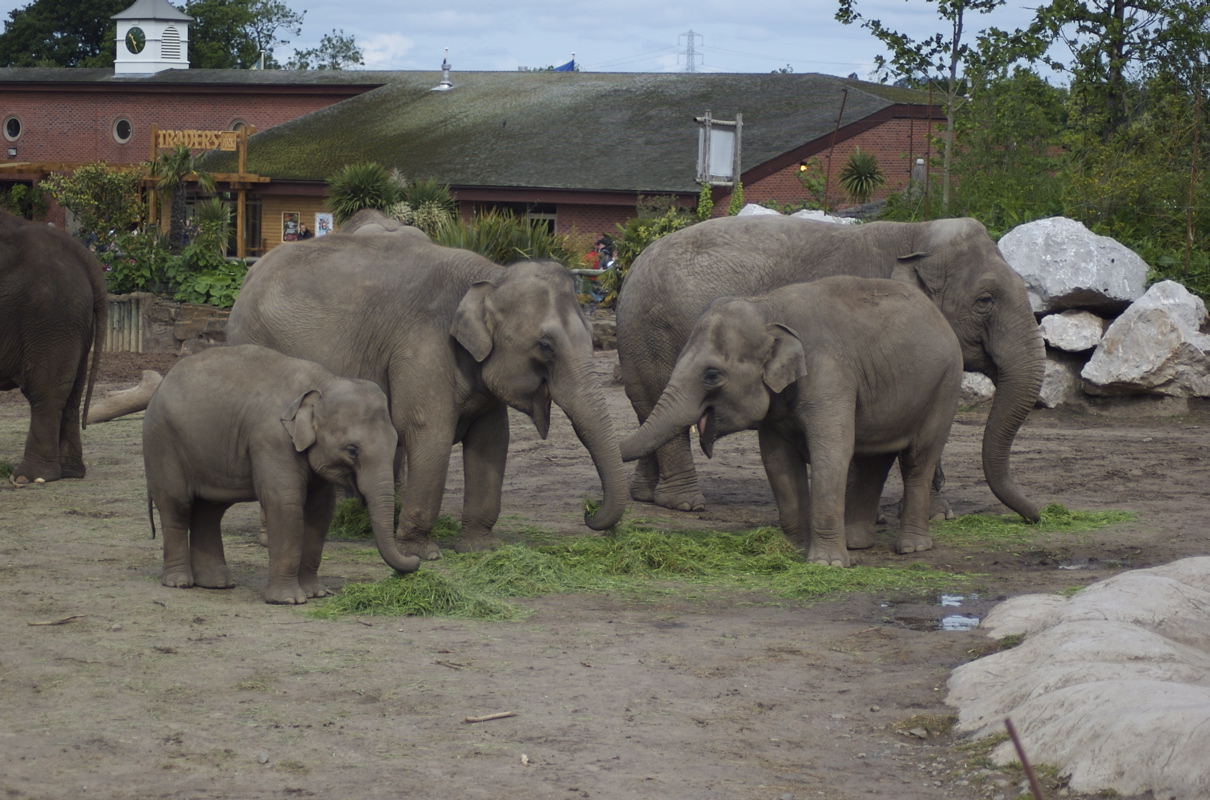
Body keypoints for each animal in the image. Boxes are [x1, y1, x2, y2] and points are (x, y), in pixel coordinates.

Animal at [0, 210, 107, 484]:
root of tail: (80, 251)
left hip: (51, 317)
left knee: (46, 391)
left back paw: (29, 478)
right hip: (73, 320)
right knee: (71, 393)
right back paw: (70, 472)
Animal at [143, 345, 422, 604]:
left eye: (396, 441)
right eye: (352, 450)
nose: (415, 559)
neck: (323, 382)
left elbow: (321, 510)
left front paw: (316, 593)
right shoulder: (272, 439)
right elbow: (285, 503)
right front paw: (289, 600)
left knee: (210, 510)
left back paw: (217, 584)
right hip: (163, 443)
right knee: (177, 505)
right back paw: (180, 582)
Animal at [227, 215, 626, 561]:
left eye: (591, 337)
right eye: (545, 346)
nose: (589, 512)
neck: (490, 278)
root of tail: (249, 275)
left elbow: (492, 440)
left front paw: (481, 549)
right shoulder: (422, 349)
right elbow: (427, 431)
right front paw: (422, 553)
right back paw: (271, 539)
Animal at [615, 214, 1044, 522]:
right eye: (985, 300)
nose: (1035, 517)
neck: (915, 236)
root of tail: (631, 268)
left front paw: (938, 516)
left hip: (640, 342)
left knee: (648, 411)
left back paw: (644, 495)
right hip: (659, 336)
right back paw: (686, 504)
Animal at [619, 276, 964, 566]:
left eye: (712, 374)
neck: (766, 308)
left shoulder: (829, 376)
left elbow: (832, 454)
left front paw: (826, 564)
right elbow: (777, 461)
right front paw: (794, 551)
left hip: (945, 387)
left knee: (918, 460)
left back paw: (912, 548)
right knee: (874, 461)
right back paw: (856, 543)